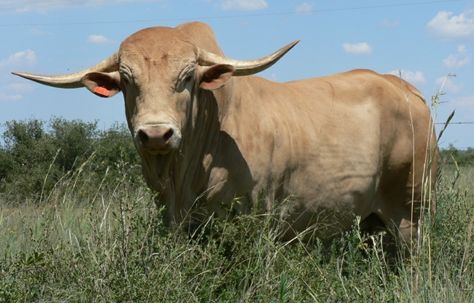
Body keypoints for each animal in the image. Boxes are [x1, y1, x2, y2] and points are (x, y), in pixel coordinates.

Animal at [13, 22, 436, 249]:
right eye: (128, 81)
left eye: (187, 77)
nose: (155, 134)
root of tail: (404, 88)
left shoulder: (255, 219)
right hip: (372, 221)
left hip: (411, 212)